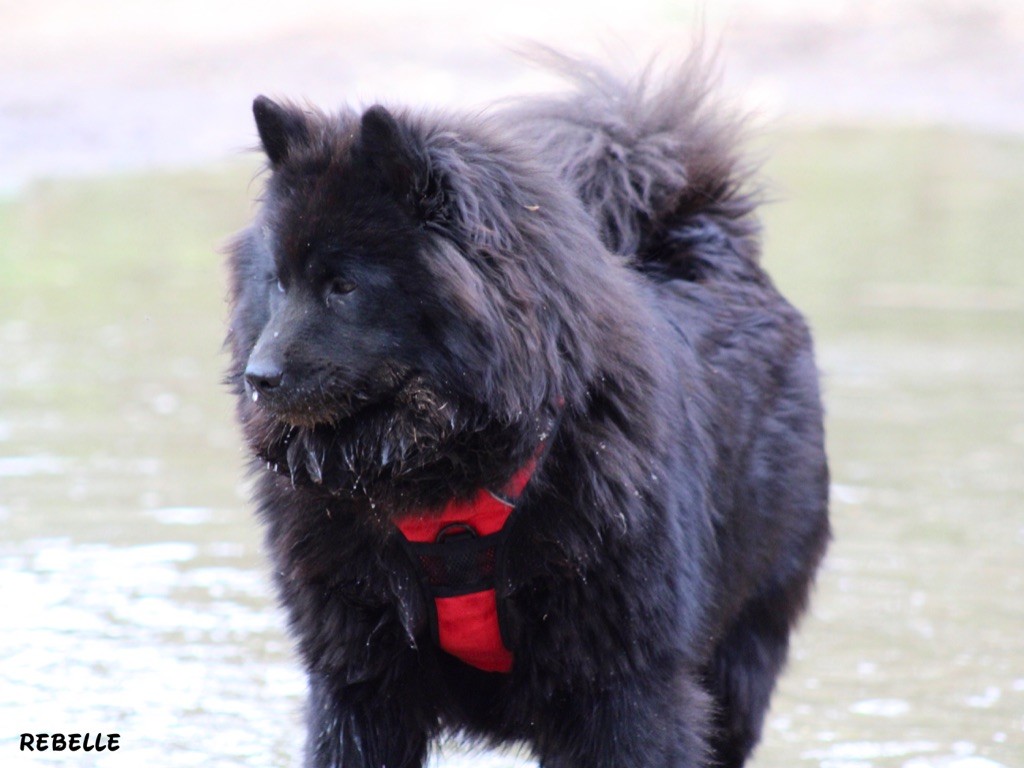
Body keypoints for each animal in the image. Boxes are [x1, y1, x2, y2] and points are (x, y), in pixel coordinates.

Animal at [226, 52, 831, 768]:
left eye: (343, 285)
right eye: (278, 282)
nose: (259, 376)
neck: (437, 479)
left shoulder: (624, 686)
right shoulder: (359, 684)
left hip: (740, 652)